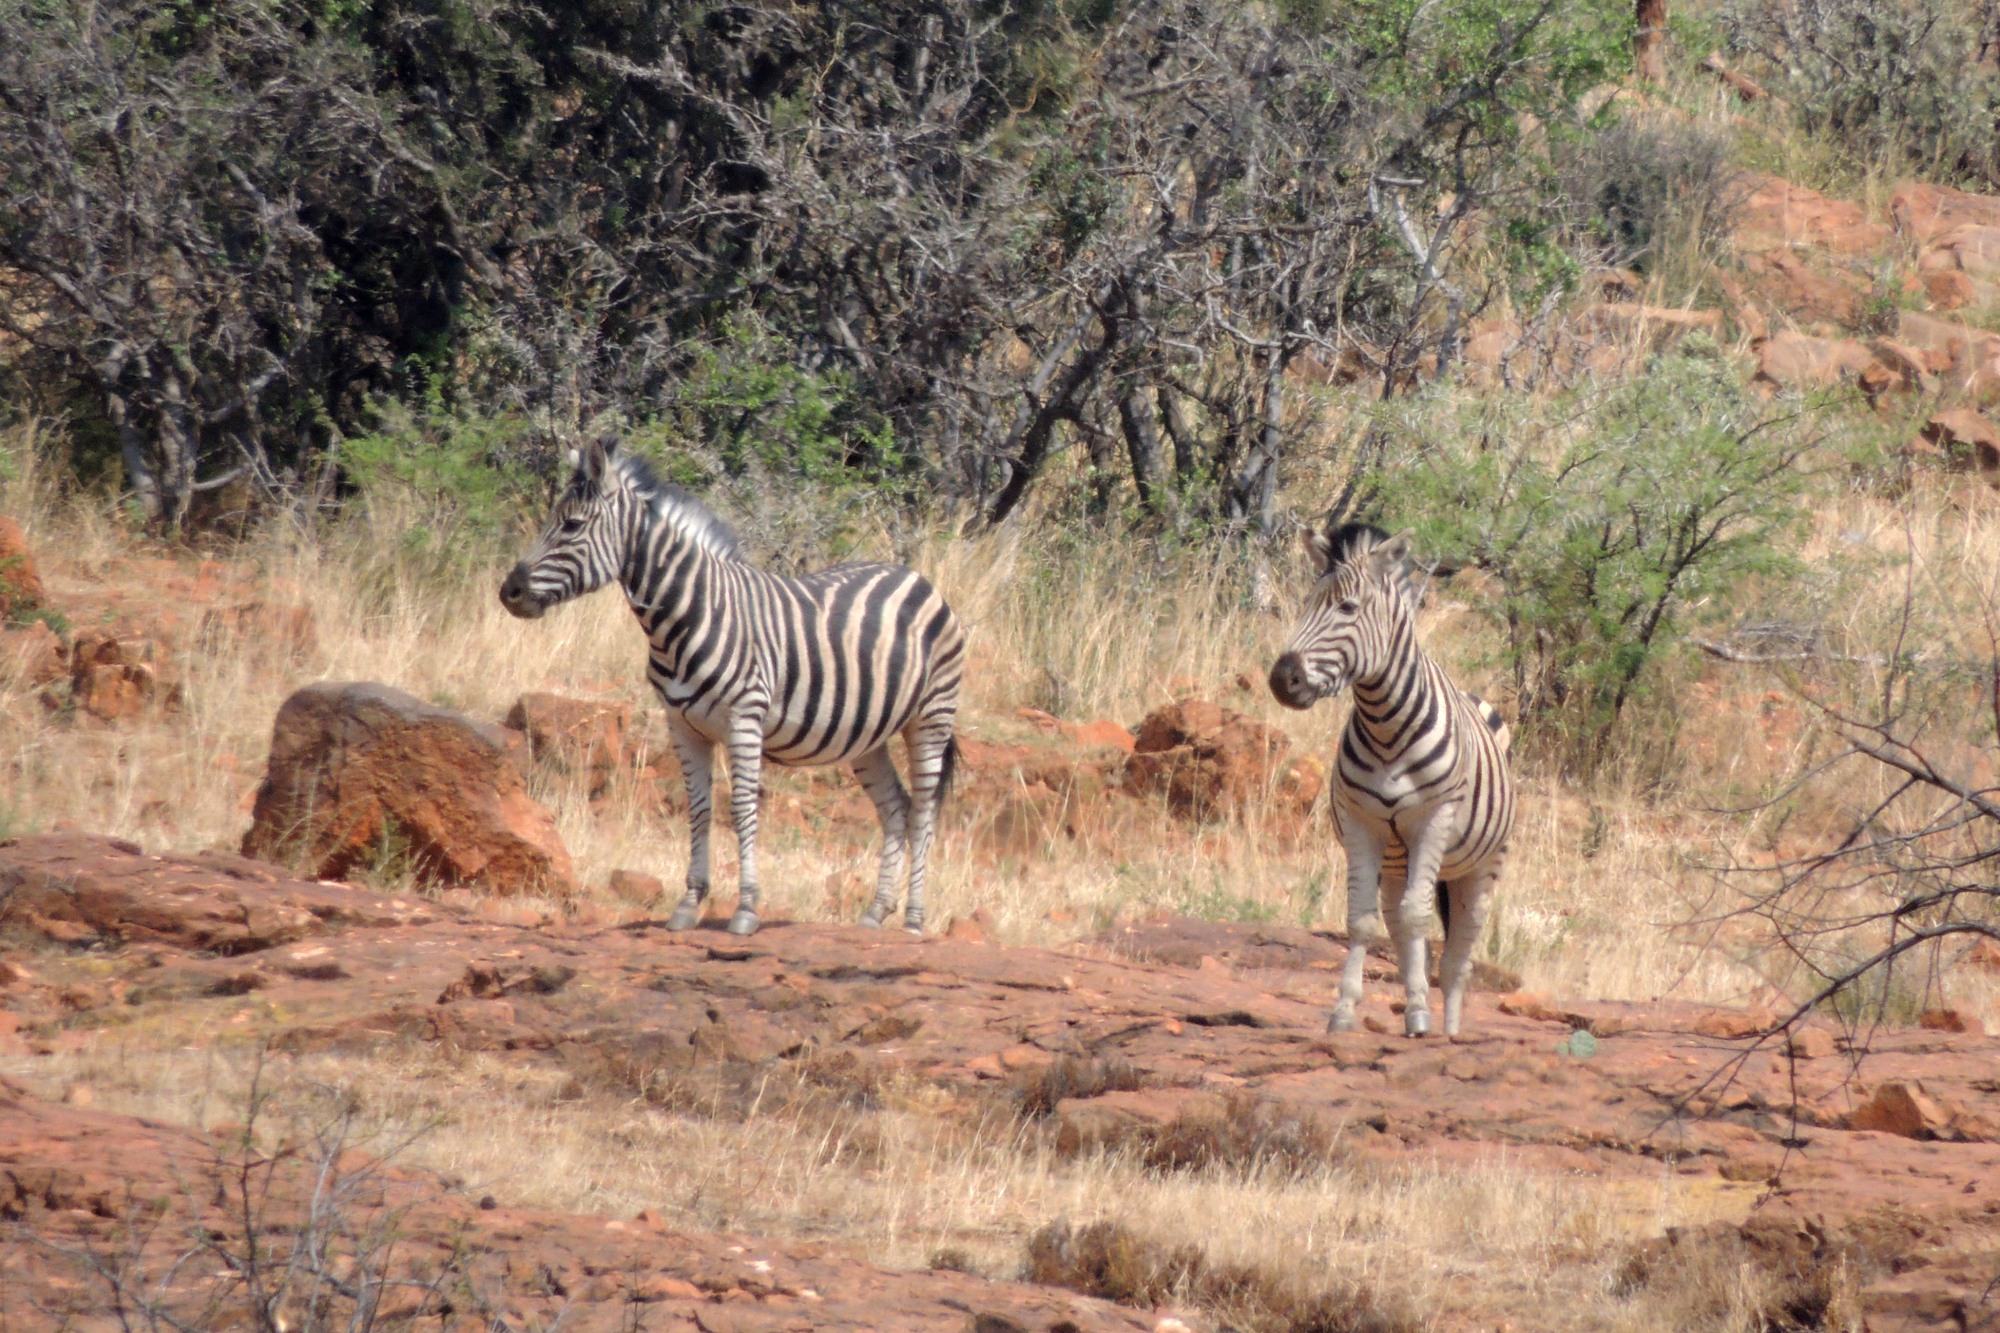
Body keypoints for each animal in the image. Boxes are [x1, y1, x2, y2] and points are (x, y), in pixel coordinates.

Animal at [499, 438, 964, 937]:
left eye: (571, 525)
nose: (509, 592)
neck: (686, 615)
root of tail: (912, 575)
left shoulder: (745, 718)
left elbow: (741, 808)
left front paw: (746, 910)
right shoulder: (682, 725)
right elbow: (700, 809)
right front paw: (689, 903)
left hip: (931, 717)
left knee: (923, 810)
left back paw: (914, 919)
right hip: (867, 734)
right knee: (895, 806)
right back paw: (876, 912)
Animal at [1268, 521, 1514, 1037]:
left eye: (1347, 608)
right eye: (1305, 604)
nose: (1283, 680)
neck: (1385, 726)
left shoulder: (1435, 819)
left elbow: (1420, 918)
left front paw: (1427, 1023)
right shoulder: (1361, 823)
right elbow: (1363, 922)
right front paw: (1344, 1010)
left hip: (1483, 864)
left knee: (1459, 948)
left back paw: (1450, 1030)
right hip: (1396, 863)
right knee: (1399, 923)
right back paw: (1417, 1007)